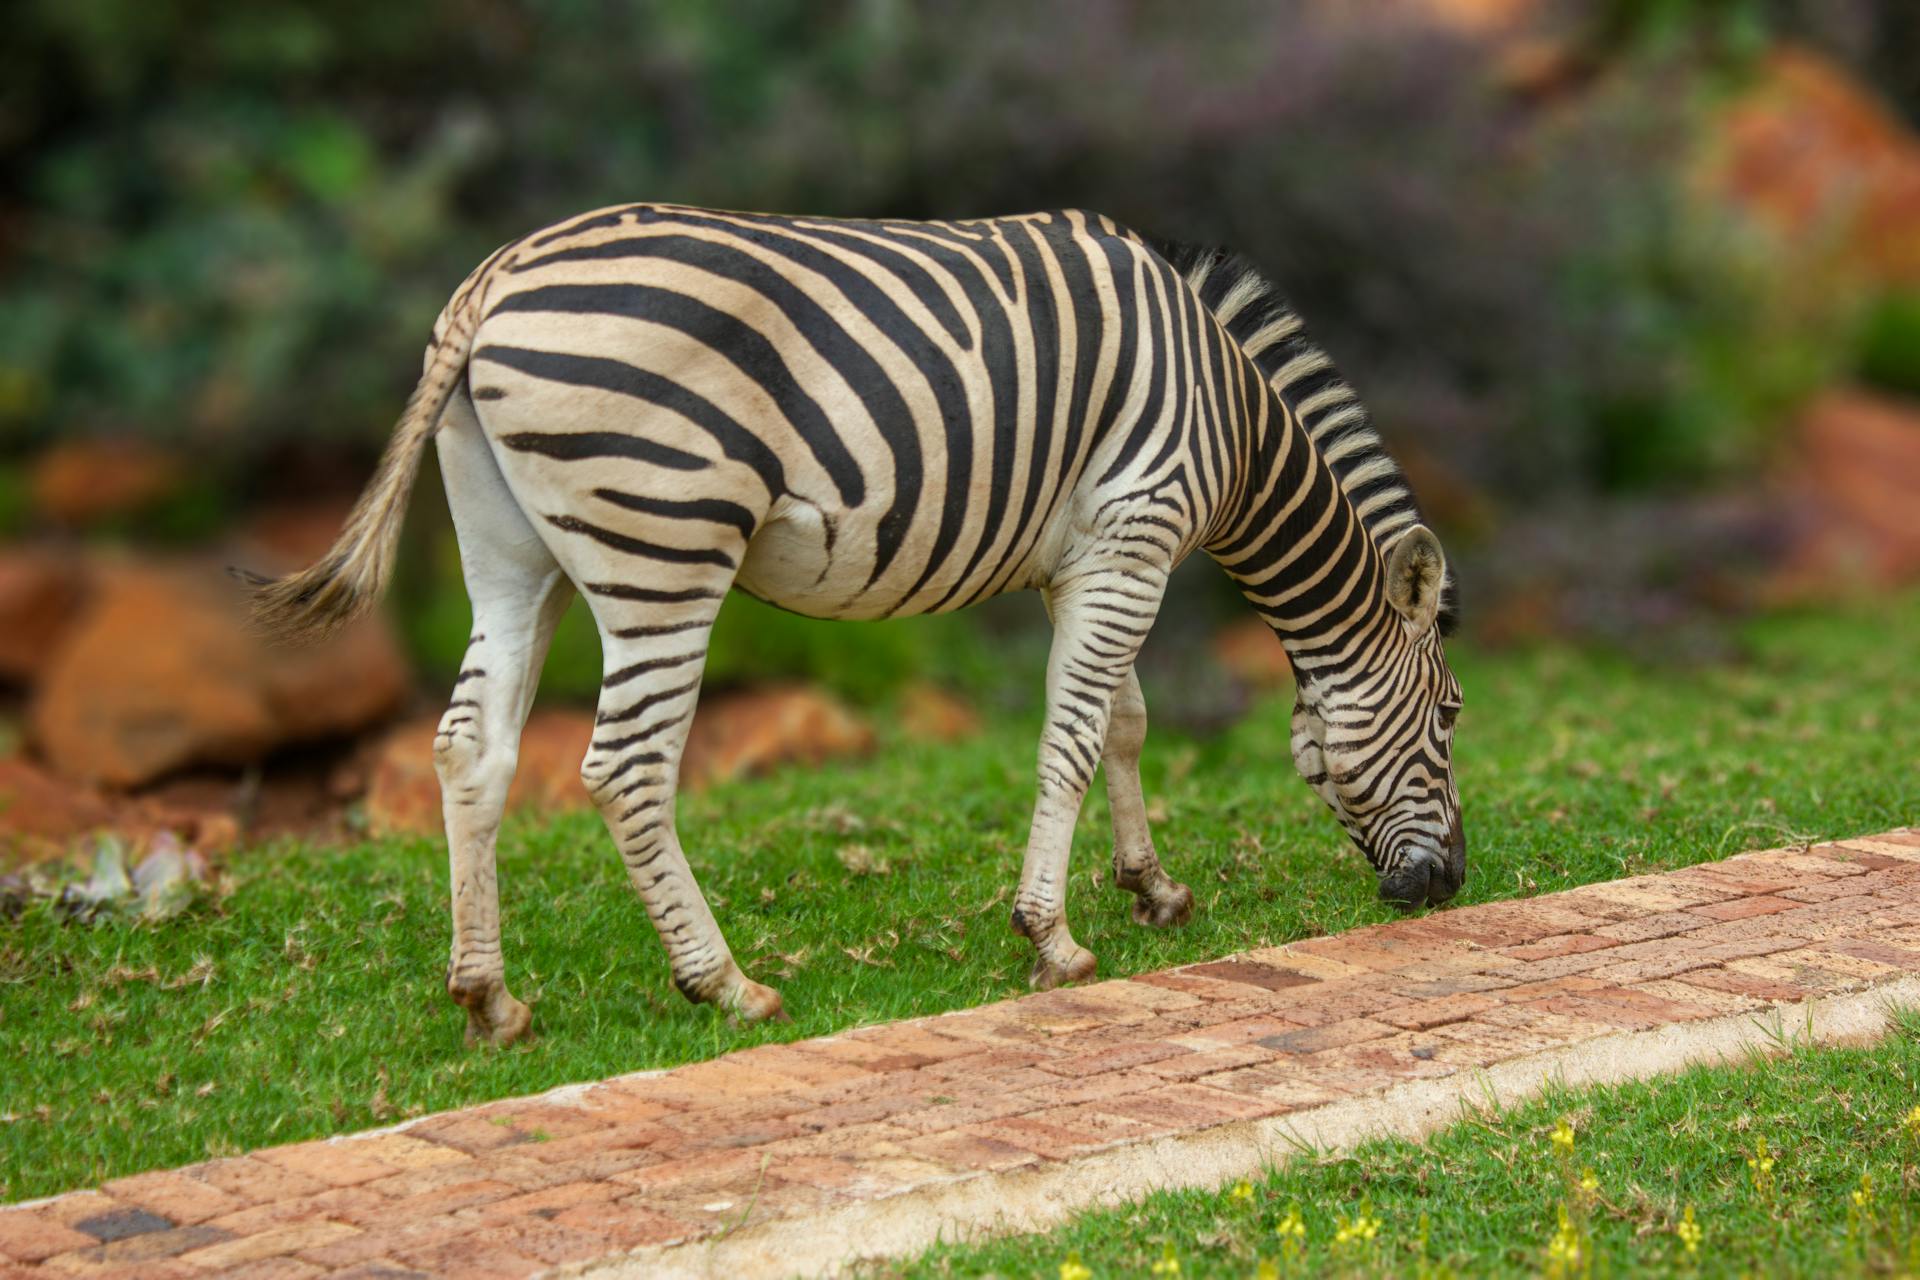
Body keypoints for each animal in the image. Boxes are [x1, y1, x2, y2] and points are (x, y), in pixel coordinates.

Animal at [247, 200, 1459, 1043]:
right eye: (1450, 715)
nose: (1446, 887)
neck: (1233, 421)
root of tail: (494, 280)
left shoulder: (1096, 555)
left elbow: (1122, 724)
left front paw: (1152, 890)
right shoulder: (1134, 538)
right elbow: (1073, 739)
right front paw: (1054, 940)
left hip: (511, 553)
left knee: (471, 748)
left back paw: (490, 999)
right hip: (666, 546)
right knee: (626, 767)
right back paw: (727, 984)